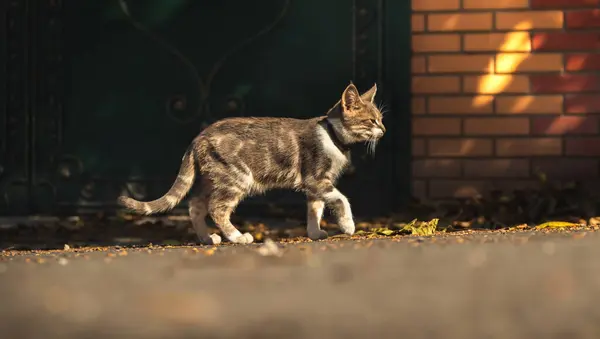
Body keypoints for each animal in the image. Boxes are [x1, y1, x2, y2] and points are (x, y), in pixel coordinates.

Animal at [118, 83, 384, 246]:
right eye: (371, 121)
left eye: (380, 119)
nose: (384, 129)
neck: (332, 136)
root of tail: (198, 137)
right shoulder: (316, 178)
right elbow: (341, 198)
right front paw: (348, 225)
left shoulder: (314, 185)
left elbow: (314, 208)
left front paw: (314, 232)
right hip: (236, 177)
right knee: (217, 208)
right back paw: (237, 237)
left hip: (211, 178)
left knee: (195, 205)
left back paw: (207, 238)